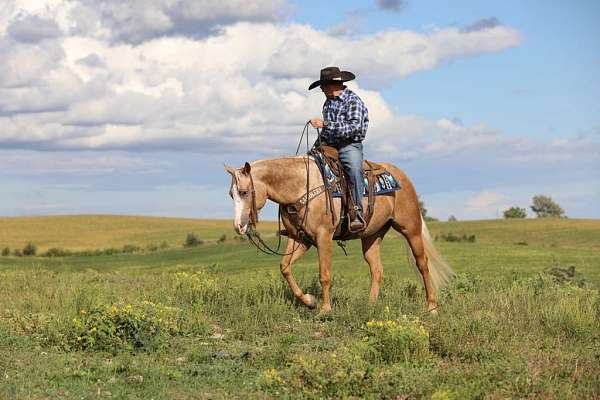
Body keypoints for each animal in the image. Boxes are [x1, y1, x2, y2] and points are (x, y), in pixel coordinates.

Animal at [226, 157, 454, 316]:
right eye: (231, 194)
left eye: (244, 192)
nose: (239, 226)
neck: (300, 186)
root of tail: (402, 177)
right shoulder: (300, 239)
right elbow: (285, 267)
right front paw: (309, 301)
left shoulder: (323, 237)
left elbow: (324, 275)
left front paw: (325, 309)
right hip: (371, 236)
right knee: (377, 269)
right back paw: (370, 305)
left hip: (411, 228)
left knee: (422, 263)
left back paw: (432, 307)